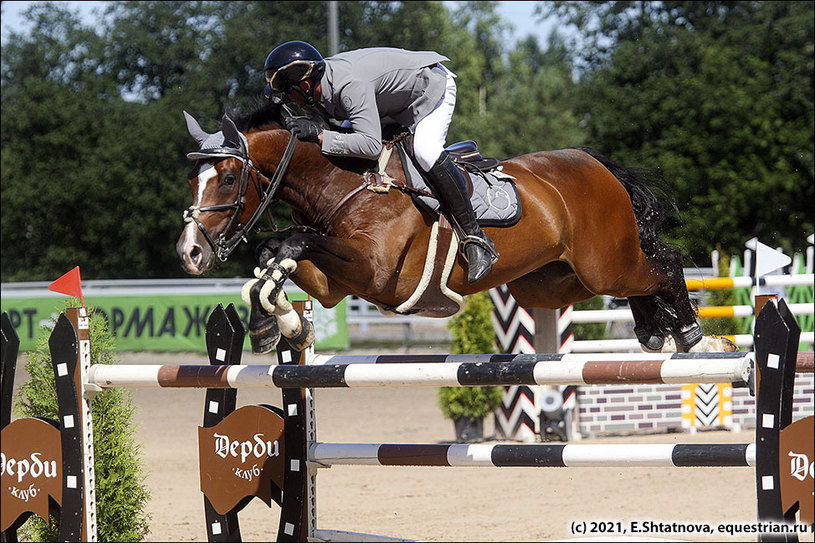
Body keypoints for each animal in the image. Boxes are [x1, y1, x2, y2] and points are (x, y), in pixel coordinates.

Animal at [177, 101, 740, 356]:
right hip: (555, 280)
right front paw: (279, 325)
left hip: (605, 263)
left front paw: (275, 320)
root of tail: (595, 164)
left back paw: (689, 332)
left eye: (228, 177)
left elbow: (292, 243)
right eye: (191, 178)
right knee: (636, 281)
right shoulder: (337, 284)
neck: (348, 184)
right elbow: (275, 258)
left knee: (662, 263)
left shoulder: (376, 273)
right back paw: (653, 329)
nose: (190, 253)